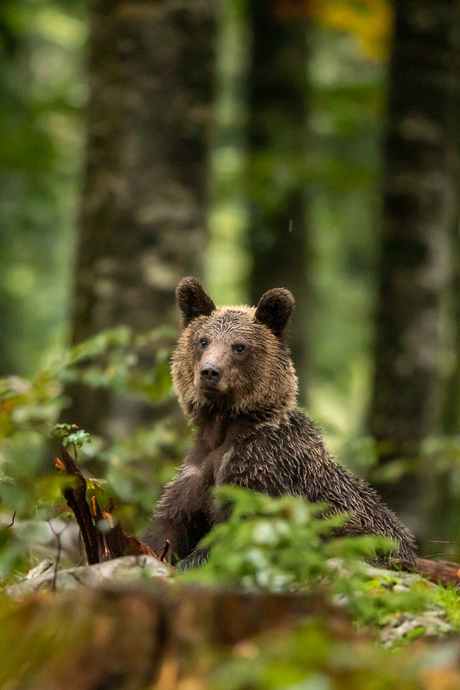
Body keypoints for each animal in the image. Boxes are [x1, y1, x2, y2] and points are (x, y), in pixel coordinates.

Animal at [145, 276, 416, 568]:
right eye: (203, 340)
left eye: (239, 346)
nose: (209, 372)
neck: (225, 426)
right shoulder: (196, 470)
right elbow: (167, 525)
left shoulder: (264, 469)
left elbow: (241, 531)